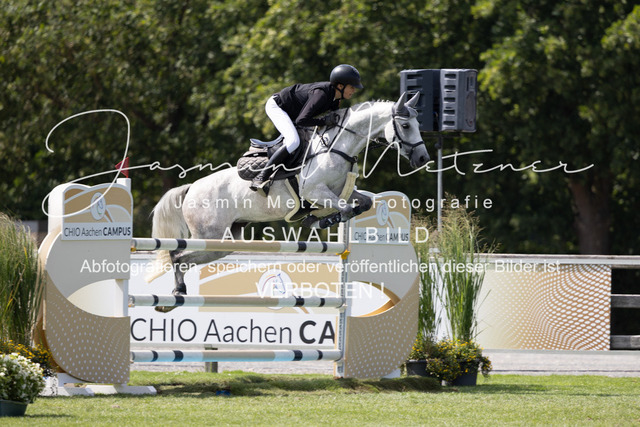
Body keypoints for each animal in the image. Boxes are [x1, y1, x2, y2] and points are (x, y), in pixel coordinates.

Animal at [145, 92, 429, 304]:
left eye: (419, 125)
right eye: (405, 125)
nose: (423, 159)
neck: (337, 147)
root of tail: (191, 188)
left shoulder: (342, 192)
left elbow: (364, 203)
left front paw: (318, 219)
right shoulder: (314, 192)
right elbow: (345, 209)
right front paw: (321, 221)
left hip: (223, 243)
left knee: (185, 257)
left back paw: (179, 290)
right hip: (209, 236)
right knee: (177, 255)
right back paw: (177, 290)